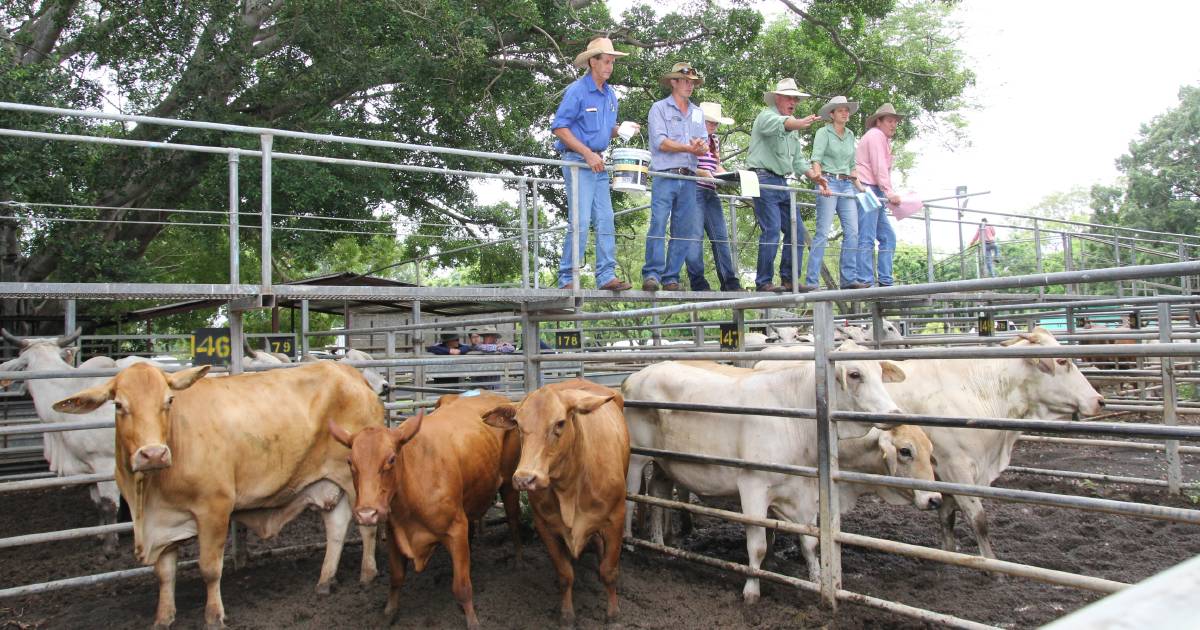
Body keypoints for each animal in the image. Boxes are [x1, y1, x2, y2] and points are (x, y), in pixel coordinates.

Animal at [54, 360, 381, 624]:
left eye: (168, 401)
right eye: (119, 405)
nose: (153, 454)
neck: (149, 497)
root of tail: (351, 374)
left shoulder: (214, 509)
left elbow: (210, 568)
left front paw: (214, 616)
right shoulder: (165, 520)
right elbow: (165, 573)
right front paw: (163, 617)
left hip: (356, 482)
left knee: (367, 528)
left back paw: (367, 575)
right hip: (329, 482)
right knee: (336, 529)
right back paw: (325, 580)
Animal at [328, 388, 520, 628]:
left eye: (391, 459)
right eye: (350, 462)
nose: (367, 514)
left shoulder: (456, 529)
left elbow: (462, 587)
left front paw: (472, 620)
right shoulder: (394, 532)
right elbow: (396, 577)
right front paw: (389, 613)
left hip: (509, 485)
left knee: (513, 519)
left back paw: (518, 561)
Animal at [480, 379, 633, 624]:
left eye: (560, 423)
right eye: (518, 425)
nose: (525, 479)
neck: (570, 488)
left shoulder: (616, 518)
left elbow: (609, 571)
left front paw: (613, 614)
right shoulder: (545, 526)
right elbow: (564, 574)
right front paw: (567, 614)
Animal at [624, 343, 940, 600]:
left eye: (879, 371)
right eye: (854, 374)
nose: (935, 499)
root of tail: (637, 376)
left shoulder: (803, 493)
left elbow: (810, 543)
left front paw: (816, 581)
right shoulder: (752, 486)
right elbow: (758, 546)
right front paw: (752, 589)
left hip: (665, 463)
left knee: (657, 495)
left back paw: (660, 544)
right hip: (637, 459)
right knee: (630, 498)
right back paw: (629, 543)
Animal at [883, 326, 1104, 556]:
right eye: (1062, 361)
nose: (1099, 401)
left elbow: (947, 517)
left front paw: (948, 553)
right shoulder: (955, 467)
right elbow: (978, 519)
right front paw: (990, 561)